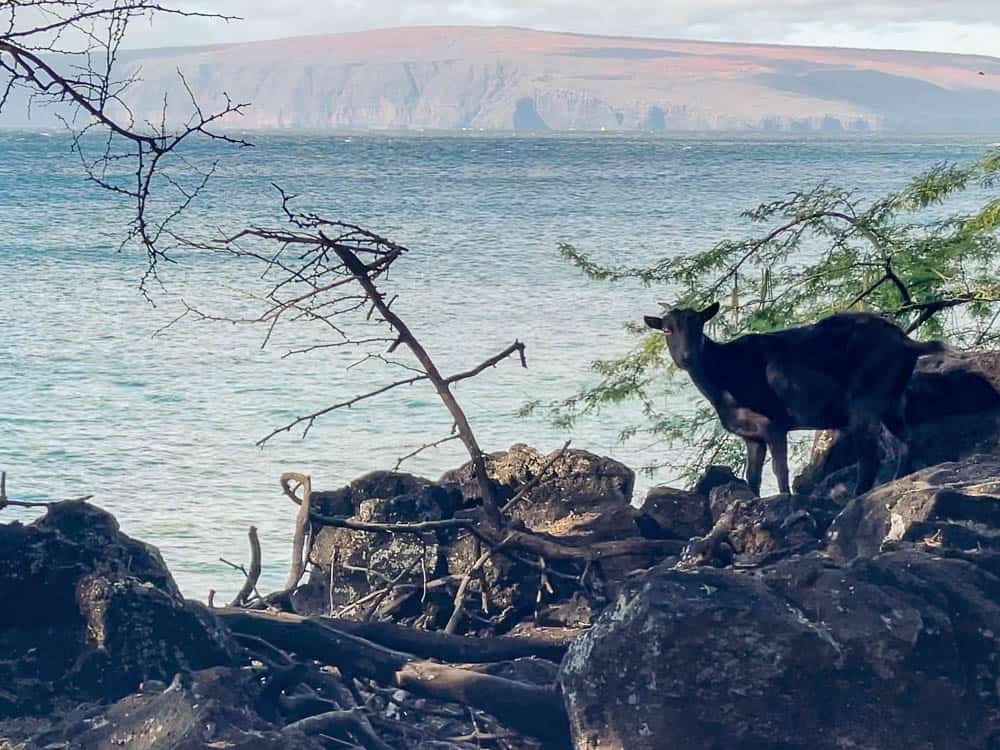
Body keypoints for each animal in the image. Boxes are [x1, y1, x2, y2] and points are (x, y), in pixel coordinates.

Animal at [640, 302, 944, 496]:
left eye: (699, 326)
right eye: (667, 329)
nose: (686, 357)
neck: (724, 375)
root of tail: (909, 343)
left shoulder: (773, 424)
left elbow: (780, 470)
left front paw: (784, 499)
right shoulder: (752, 436)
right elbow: (753, 477)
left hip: (866, 400)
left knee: (871, 456)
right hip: (893, 399)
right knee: (906, 441)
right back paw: (897, 481)